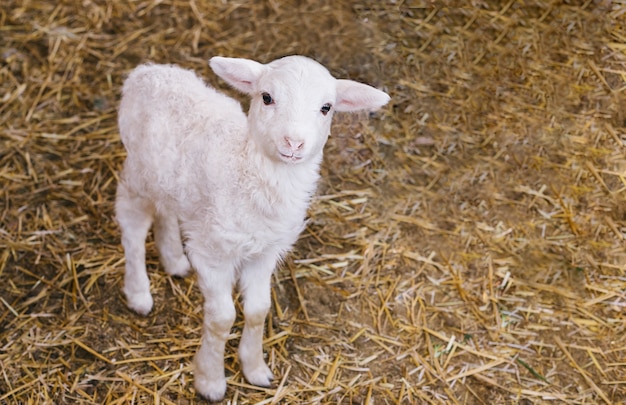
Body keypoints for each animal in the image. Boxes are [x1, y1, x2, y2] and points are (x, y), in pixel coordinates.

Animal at [114, 55, 388, 400]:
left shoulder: (264, 253)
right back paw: (138, 292)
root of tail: (147, 72)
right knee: (132, 226)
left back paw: (174, 260)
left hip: (171, 184)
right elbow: (222, 319)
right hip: (138, 174)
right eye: (267, 97)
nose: (294, 142)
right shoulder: (214, 254)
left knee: (166, 211)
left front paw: (255, 367)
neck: (248, 170)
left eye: (327, 107)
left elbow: (259, 310)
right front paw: (210, 380)